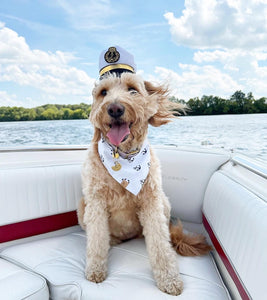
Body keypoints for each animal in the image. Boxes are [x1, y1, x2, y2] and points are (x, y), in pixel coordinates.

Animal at [76, 69, 213, 294]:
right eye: (103, 92)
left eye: (132, 89)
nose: (115, 108)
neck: (122, 157)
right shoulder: (95, 202)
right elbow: (96, 240)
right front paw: (95, 271)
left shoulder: (151, 202)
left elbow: (160, 244)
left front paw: (169, 279)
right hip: (82, 207)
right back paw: (113, 240)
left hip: (164, 202)